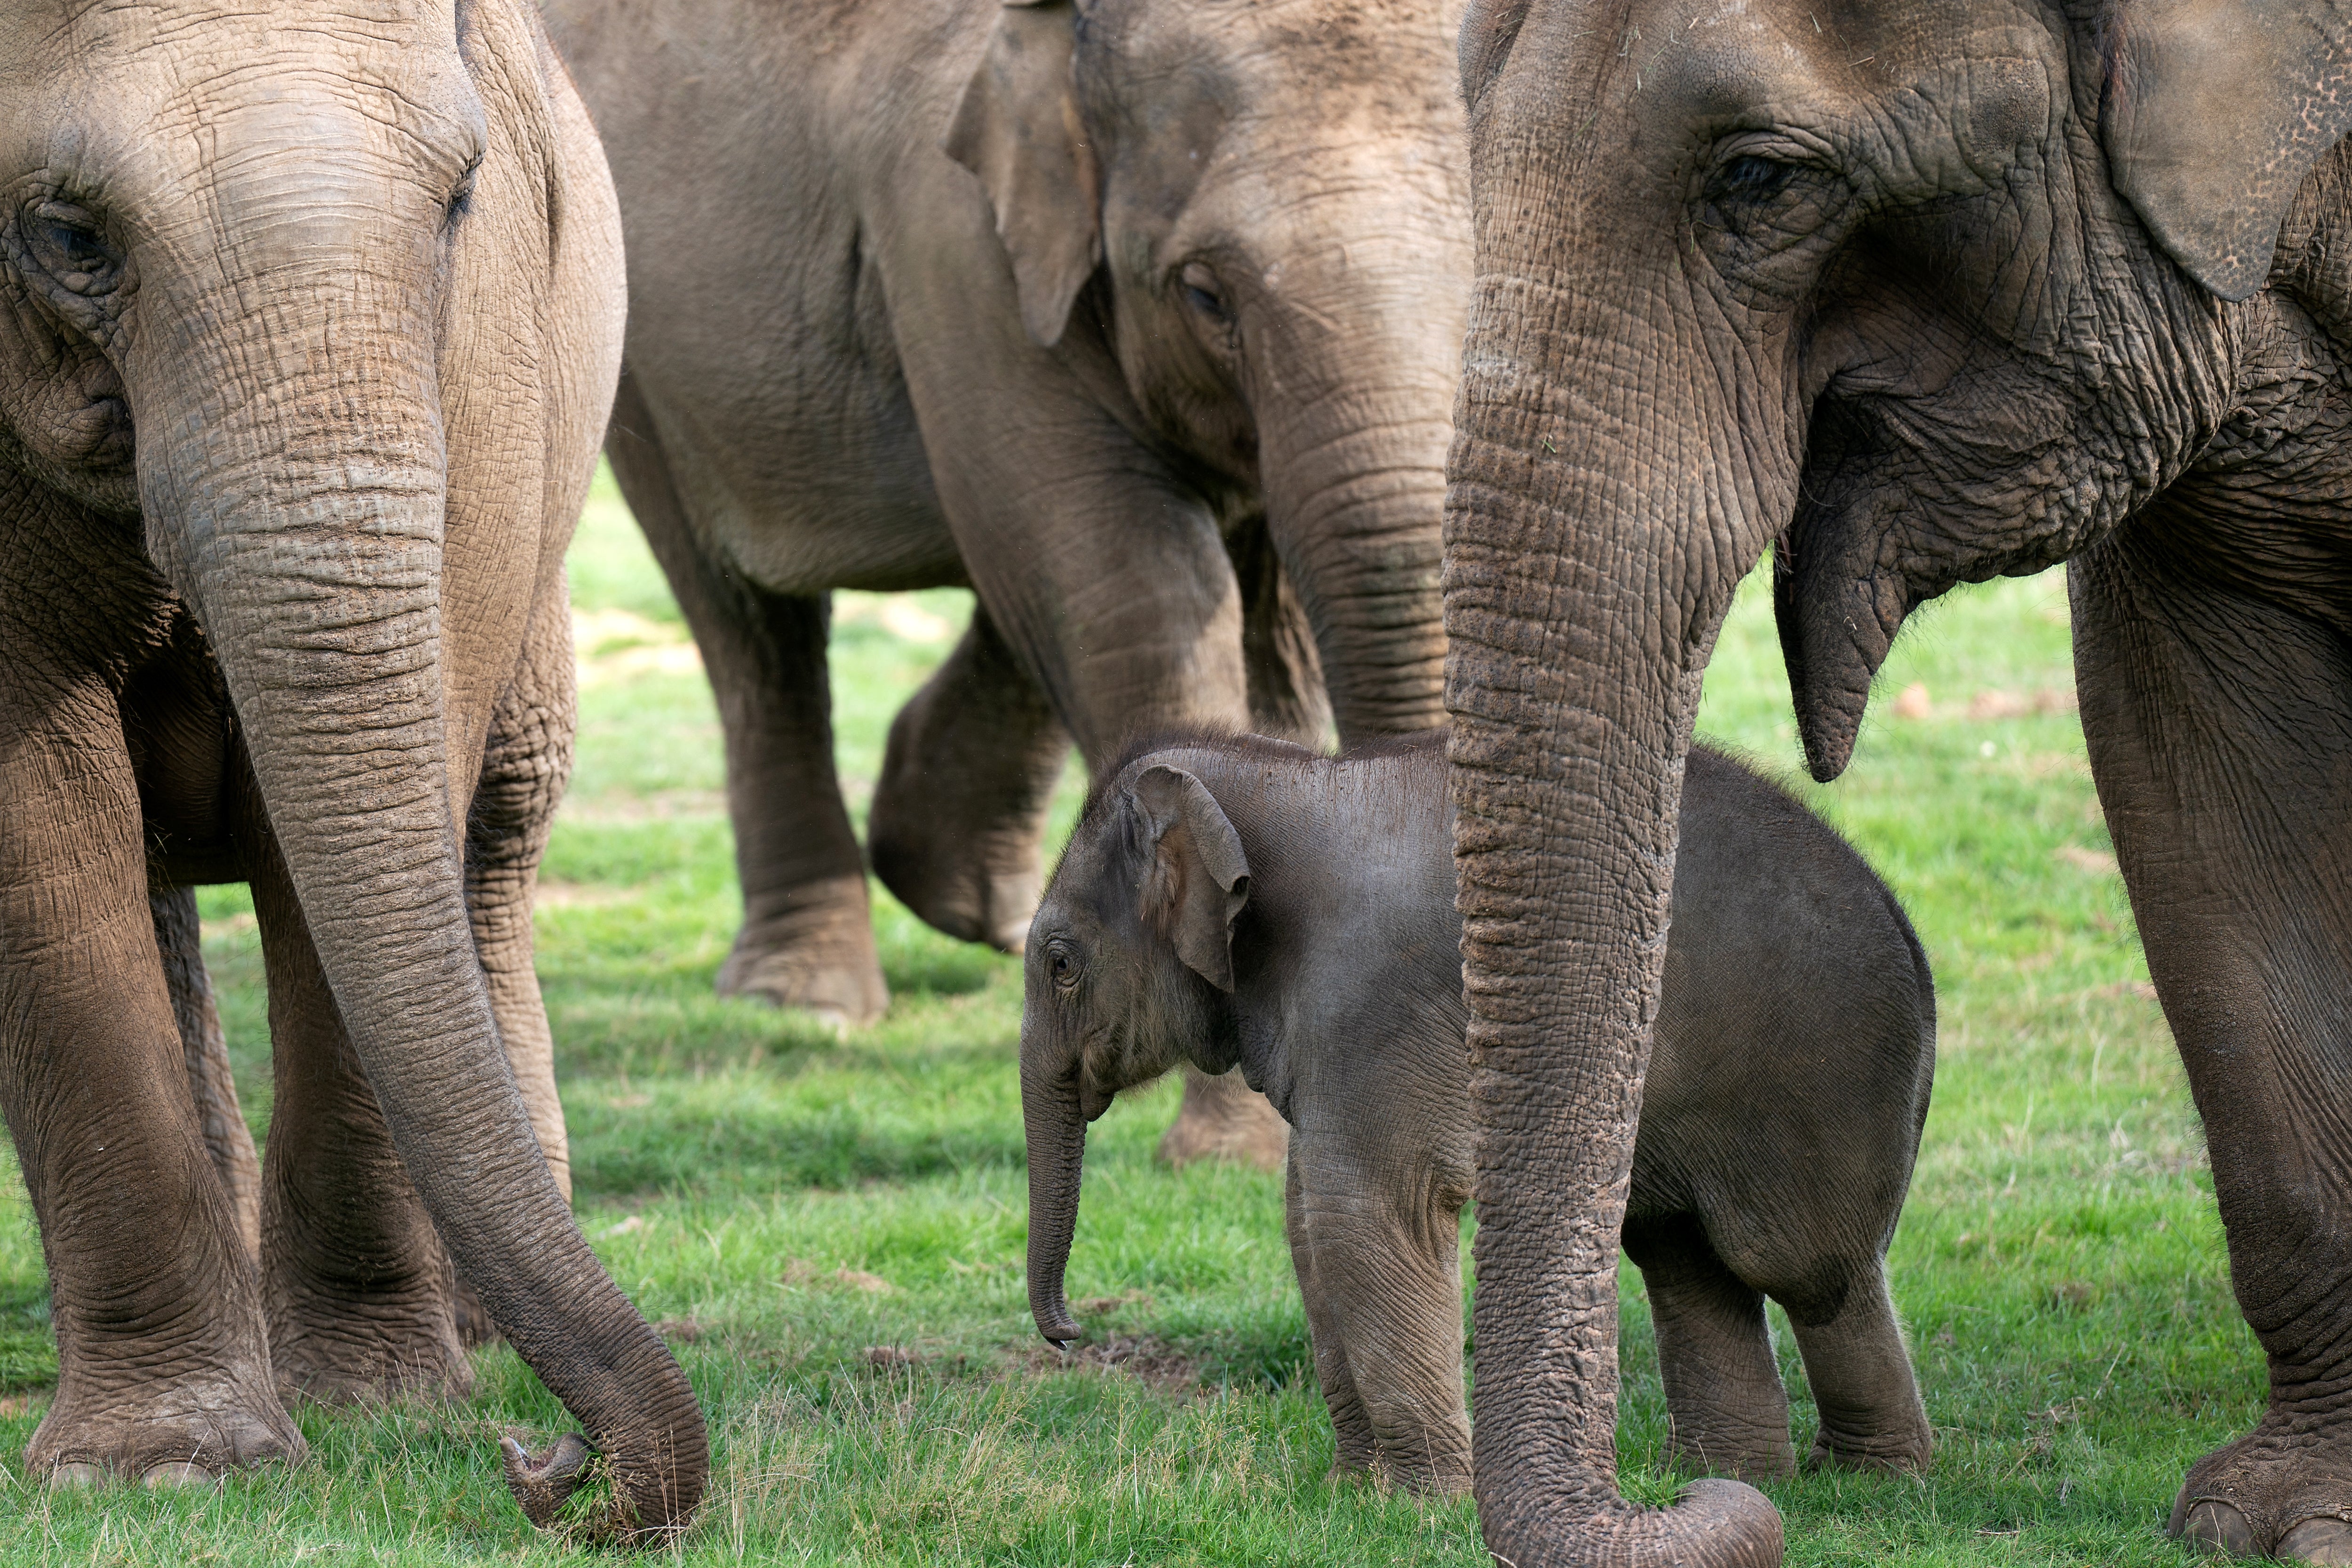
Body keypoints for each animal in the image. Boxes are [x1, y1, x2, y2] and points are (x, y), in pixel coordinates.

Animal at [0, 0, 701, 1533]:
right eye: (65, 234)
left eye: (459, 201)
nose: (551, 1467)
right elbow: (34, 823)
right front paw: (170, 1463)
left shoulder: (483, 357)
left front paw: (382, 1406)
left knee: (497, 828)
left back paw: (474, 1337)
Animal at [546, 0, 1468, 1161]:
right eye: (1205, 292)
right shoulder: (954, 247)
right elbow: (1136, 591)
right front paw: (1234, 1153)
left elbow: (1262, 611)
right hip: (636, 352)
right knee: (746, 619)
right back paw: (804, 997)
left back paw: (962, 893)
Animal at [1021, 738, 1938, 1495]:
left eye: (1061, 963)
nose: (1069, 1334)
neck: (1285, 774)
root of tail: (1909, 923)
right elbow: (1309, 1215)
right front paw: (1356, 1494)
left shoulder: (1373, 1000)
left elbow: (1368, 1209)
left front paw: (1418, 1505)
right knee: (1683, 1253)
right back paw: (1734, 1478)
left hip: (1821, 1073)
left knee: (1806, 1265)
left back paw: (1866, 1482)